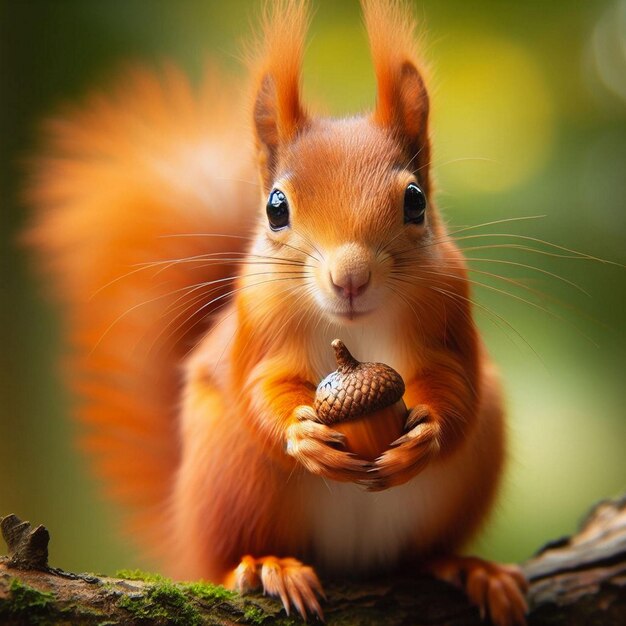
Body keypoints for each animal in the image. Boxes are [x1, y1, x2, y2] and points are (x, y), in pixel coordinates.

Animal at [26, 1, 528, 624]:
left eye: (415, 201)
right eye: (275, 208)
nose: (350, 278)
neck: (351, 329)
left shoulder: (448, 311)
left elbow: (455, 385)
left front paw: (427, 430)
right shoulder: (258, 322)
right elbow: (262, 386)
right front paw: (300, 433)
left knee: (424, 550)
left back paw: (467, 568)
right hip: (233, 476)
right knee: (228, 555)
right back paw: (267, 566)